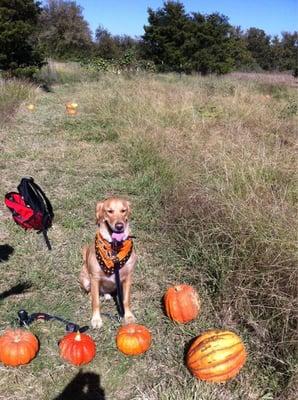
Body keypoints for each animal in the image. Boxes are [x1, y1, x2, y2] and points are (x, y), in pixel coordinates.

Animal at [78, 197, 136, 328]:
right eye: (109, 211)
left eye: (123, 210)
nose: (119, 226)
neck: (114, 248)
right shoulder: (94, 278)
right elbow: (96, 302)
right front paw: (96, 319)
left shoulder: (128, 277)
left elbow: (126, 299)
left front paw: (128, 316)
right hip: (85, 279)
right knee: (91, 293)